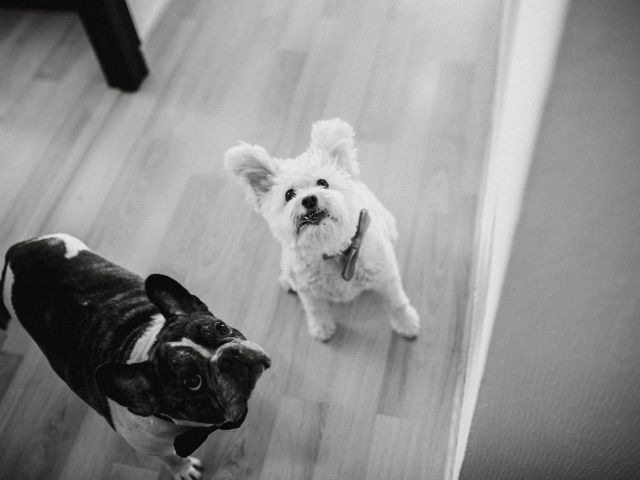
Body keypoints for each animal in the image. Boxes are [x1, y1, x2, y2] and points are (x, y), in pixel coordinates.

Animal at [0, 234, 270, 478]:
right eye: (193, 382)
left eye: (221, 327)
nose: (229, 355)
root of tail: (18, 249)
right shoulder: (151, 447)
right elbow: (170, 457)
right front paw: (182, 469)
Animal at [225, 118, 420, 342]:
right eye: (289, 194)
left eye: (323, 183)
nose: (309, 199)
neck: (329, 249)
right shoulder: (308, 291)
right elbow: (315, 309)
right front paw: (322, 328)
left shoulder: (387, 277)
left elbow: (397, 302)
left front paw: (406, 323)